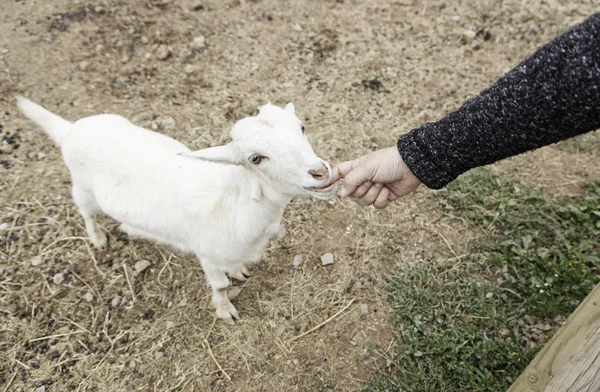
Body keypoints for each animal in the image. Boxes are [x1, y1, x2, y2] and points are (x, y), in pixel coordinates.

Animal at [17, 96, 338, 324]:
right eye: (255, 158)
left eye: (302, 127)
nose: (320, 172)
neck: (235, 198)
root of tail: (70, 129)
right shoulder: (206, 253)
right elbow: (220, 285)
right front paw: (225, 310)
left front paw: (238, 271)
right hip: (82, 188)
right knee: (86, 213)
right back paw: (97, 238)